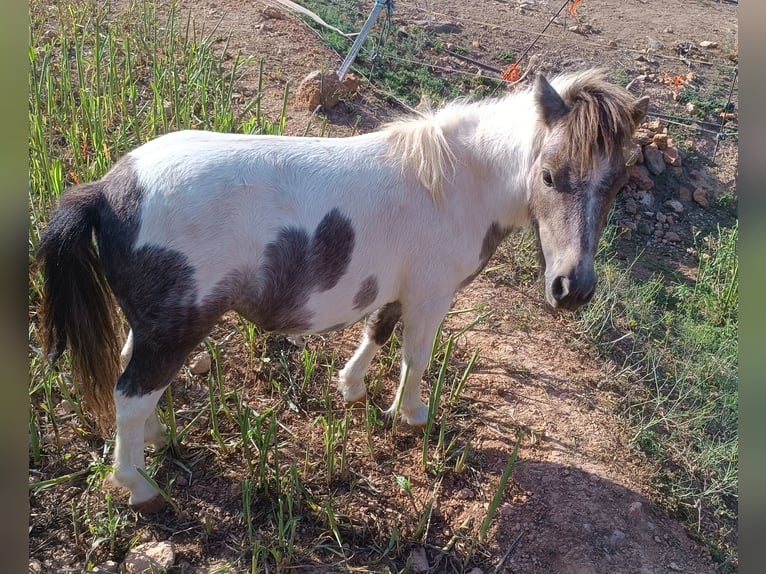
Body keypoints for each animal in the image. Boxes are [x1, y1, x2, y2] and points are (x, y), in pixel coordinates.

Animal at [36, 70, 648, 510]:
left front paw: (351, 388)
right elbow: (415, 356)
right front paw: (410, 415)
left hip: (153, 324)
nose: (572, 288)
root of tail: (108, 190)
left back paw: (158, 441)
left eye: (617, 184)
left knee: (134, 377)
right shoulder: (431, 295)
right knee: (131, 394)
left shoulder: (396, 289)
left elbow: (378, 329)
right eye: (548, 175)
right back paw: (138, 486)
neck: (452, 184)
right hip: (175, 327)